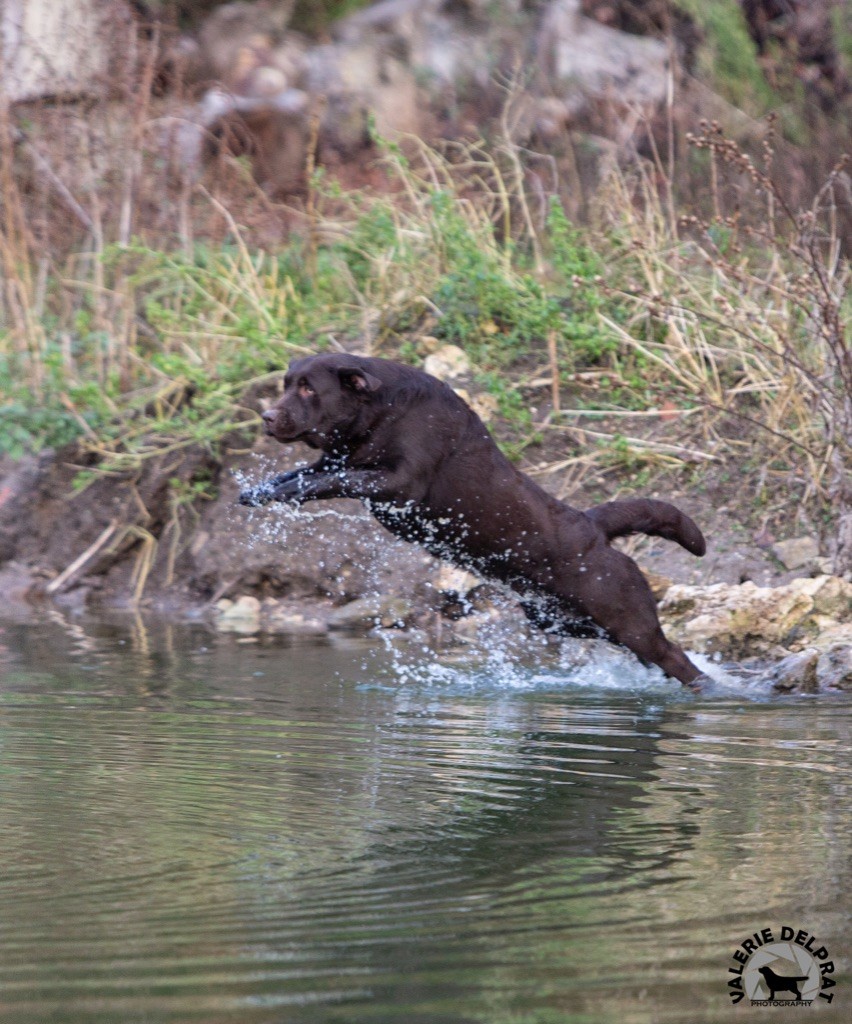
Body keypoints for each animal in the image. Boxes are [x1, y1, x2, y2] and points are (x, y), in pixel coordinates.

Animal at [239, 353, 707, 688]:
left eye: (307, 389)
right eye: (286, 385)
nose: (266, 417)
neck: (380, 411)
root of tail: (592, 525)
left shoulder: (399, 483)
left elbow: (336, 479)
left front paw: (281, 495)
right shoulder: (332, 461)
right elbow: (301, 473)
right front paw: (257, 491)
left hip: (626, 616)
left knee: (674, 656)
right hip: (566, 620)